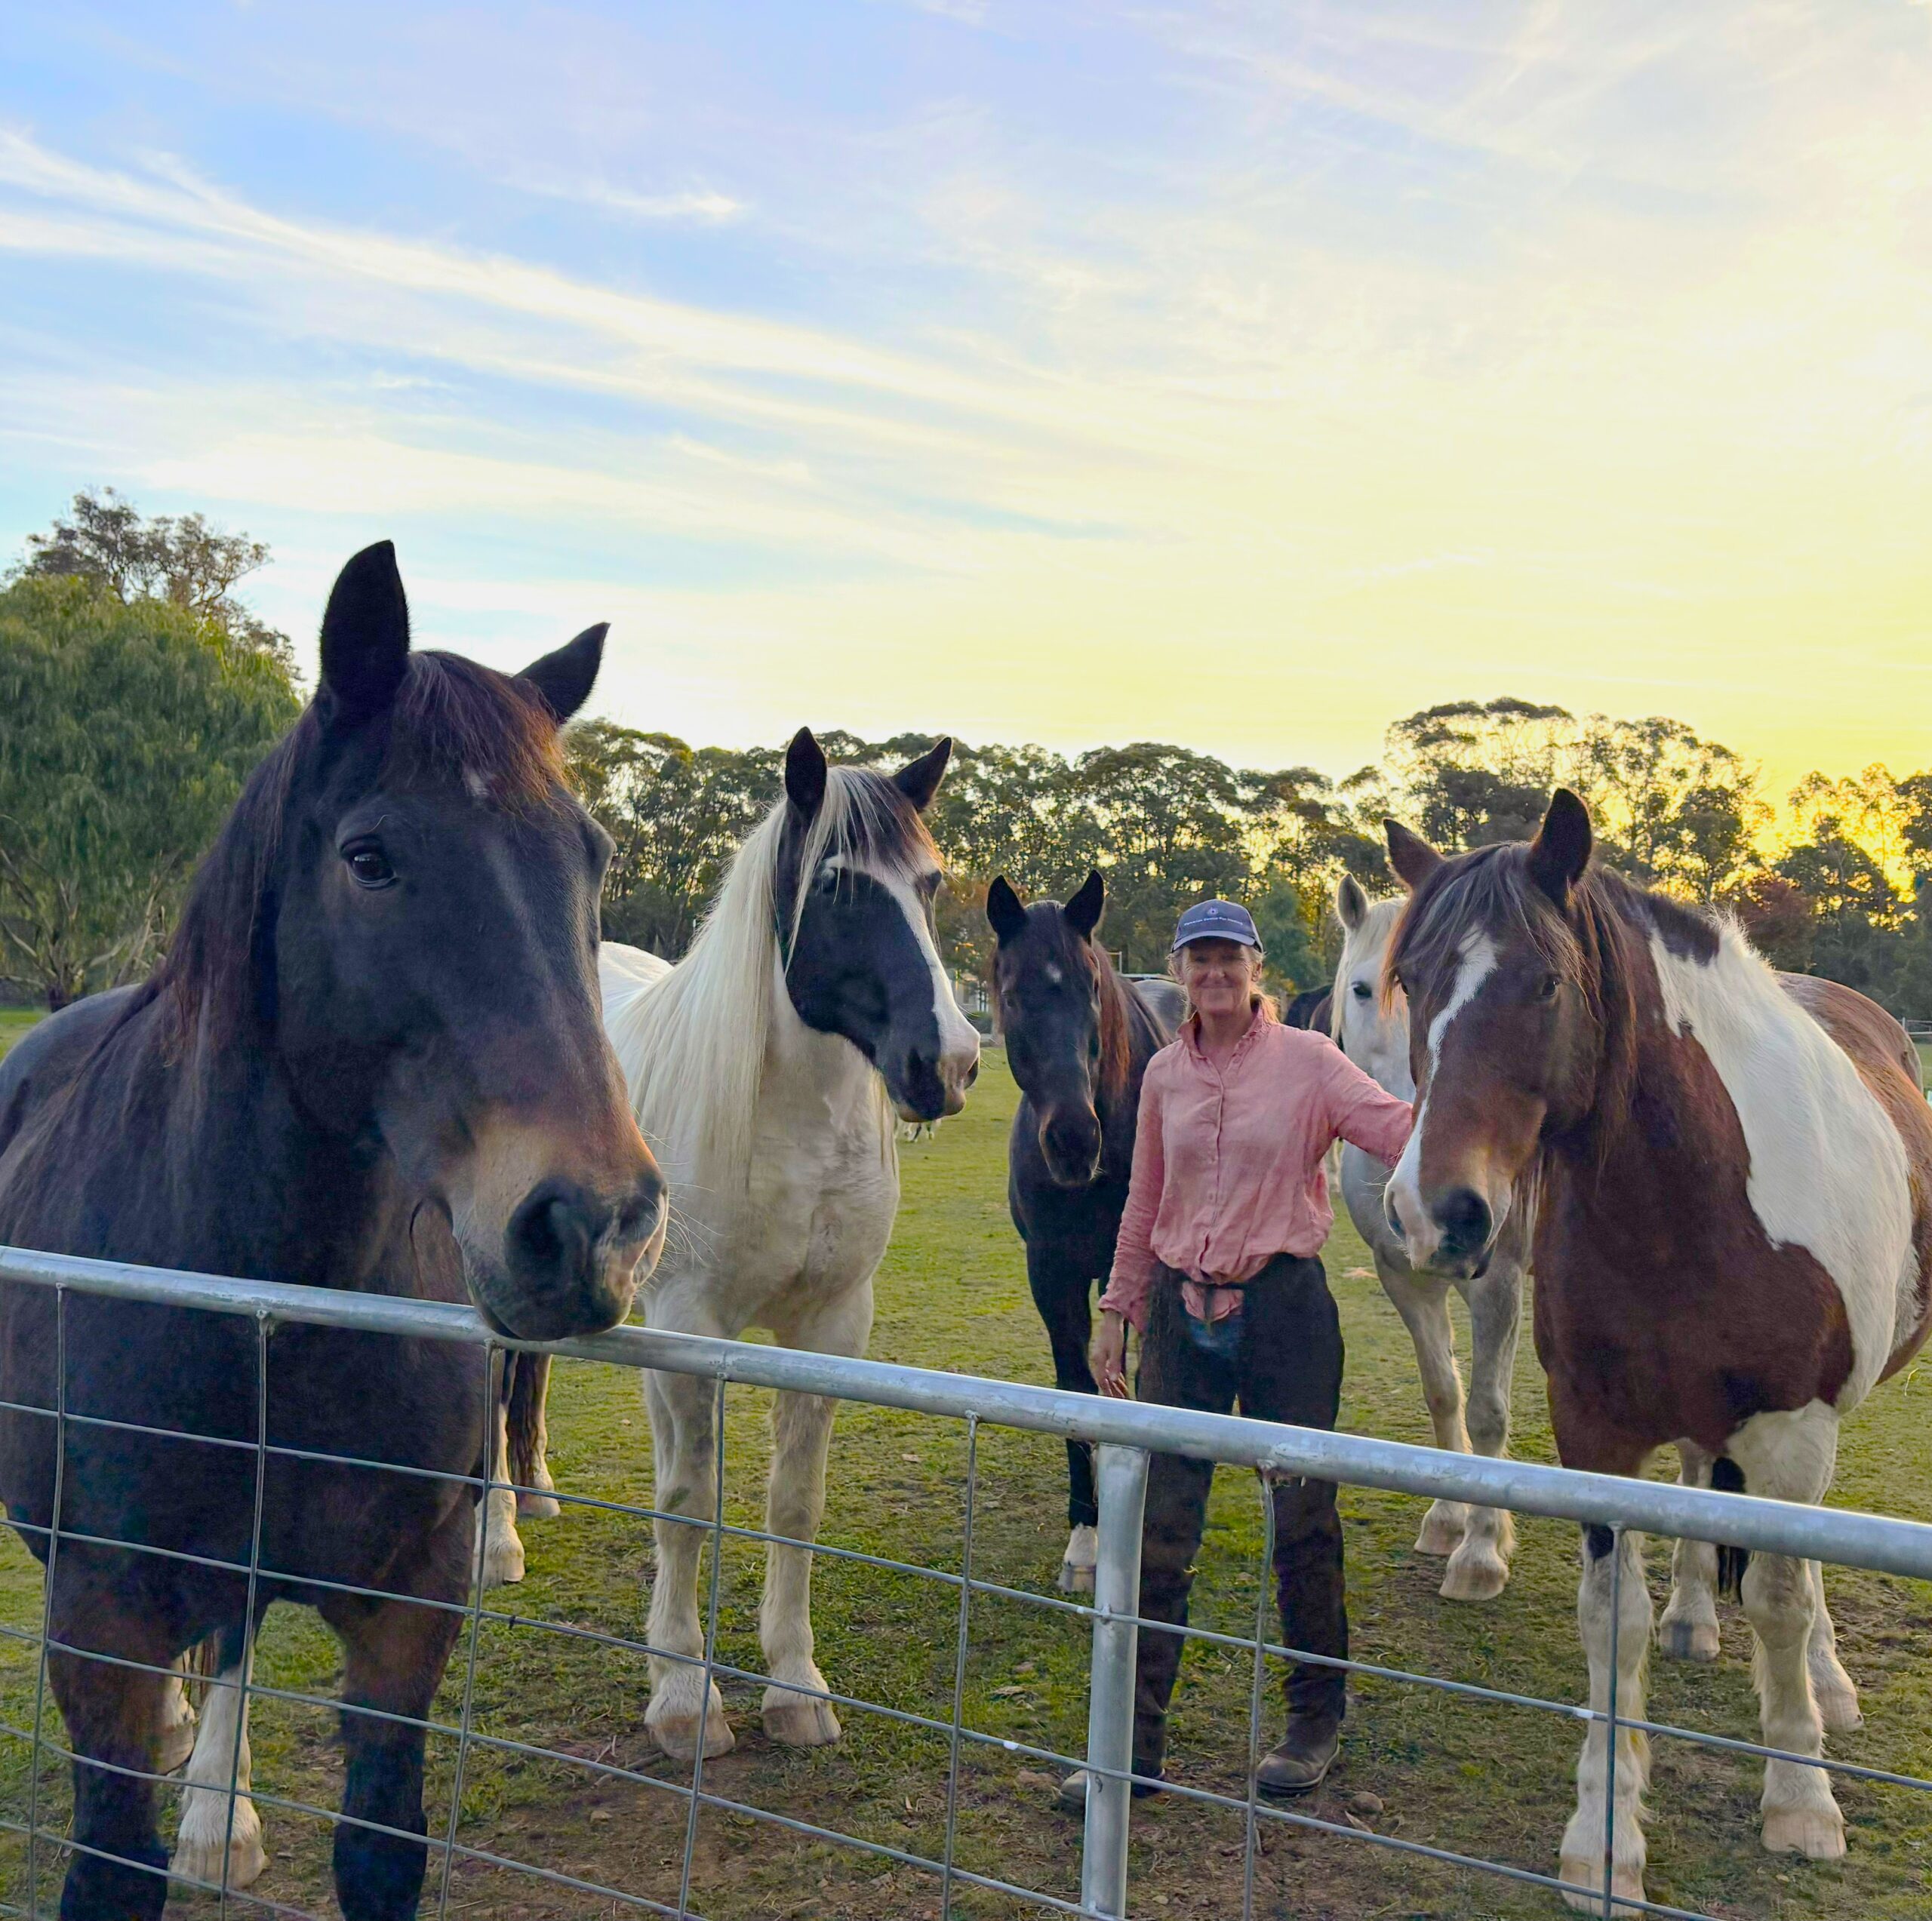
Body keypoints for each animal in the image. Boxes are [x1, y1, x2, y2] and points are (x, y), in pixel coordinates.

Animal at [0, 542, 665, 1920]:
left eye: (589, 856)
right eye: (370, 857)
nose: (596, 1225)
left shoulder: (407, 1610)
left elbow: (377, 1846)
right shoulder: (100, 1621)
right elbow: (112, 1859)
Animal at [535, 726, 981, 1761]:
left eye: (931, 882)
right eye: (838, 887)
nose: (947, 1063)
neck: (791, 1124)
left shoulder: (829, 1327)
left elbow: (794, 1504)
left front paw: (794, 1683)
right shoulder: (690, 1324)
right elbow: (686, 1502)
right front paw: (682, 1696)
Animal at [985, 872, 1182, 1592]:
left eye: (1091, 987)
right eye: (1012, 993)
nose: (1073, 1140)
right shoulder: (1051, 1273)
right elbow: (1076, 1388)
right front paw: (1085, 1537)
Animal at [1330, 875, 1526, 1601]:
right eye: (1364, 989)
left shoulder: (1497, 1288)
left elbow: (1489, 1413)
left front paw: (1481, 1551)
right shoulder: (1403, 1278)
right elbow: (1444, 1393)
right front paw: (1447, 1521)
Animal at [1381, 790, 1932, 1910]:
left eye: (1546, 981)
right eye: (1409, 981)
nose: (1434, 1212)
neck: (1694, 1195)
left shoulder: (1793, 1428)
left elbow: (1779, 1600)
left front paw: (1800, 1800)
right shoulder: (1596, 1433)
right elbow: (1613, 1620)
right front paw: (1605, 1835)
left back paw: (1826, 1682)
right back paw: (1691, 1620)